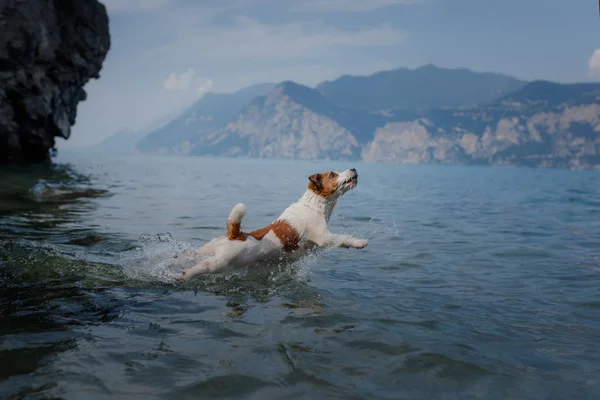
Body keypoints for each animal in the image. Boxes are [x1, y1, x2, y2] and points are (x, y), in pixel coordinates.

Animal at [178, 167, 368, 280]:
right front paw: (360, 243)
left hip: (206, 250)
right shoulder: (324, 237)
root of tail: (236, 235)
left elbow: (341, 241)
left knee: (191, 254)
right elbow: (343, 238)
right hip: (222, 263)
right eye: (333, 174)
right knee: (203, 266)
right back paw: (185, 275)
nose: (353, 168)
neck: (314, 203)